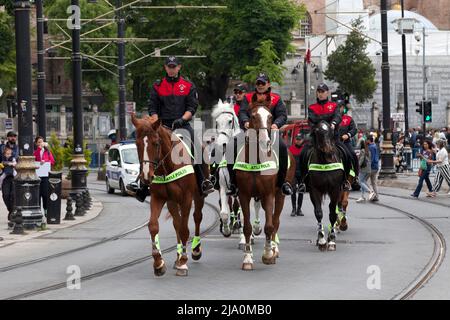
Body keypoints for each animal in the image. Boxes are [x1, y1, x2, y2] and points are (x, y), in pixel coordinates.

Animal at [131, 114, 207, 276]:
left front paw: (183, 263)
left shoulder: (186, 199)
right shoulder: (158, 198)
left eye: (156, 143)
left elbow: (185, 229)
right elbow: (153, 226)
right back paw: (177, 258)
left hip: (199, 196)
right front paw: (158, 263)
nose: (146, 176)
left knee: (197, 217)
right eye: (137, 144)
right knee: (176, 223)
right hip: (172, 202)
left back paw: (195, 251)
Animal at [212, 100, 262, 250]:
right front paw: (226, 230)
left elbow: (246, 214)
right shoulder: (224, 186)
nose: (221, 143)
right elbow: (224, 212)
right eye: (216, 122)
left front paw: (244, 239)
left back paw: (255, 230)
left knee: (256, 206)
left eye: (230, 121)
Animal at [234, 94, 298, 270]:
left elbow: (270, 226)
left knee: (275, 221)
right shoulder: (244, 195)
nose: (265, 141)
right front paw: (247, 258)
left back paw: (274, 249)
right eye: (253, 116)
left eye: (270, 117)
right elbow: (247, 227)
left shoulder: (269, 194)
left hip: (280, 195)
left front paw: (268, 254)